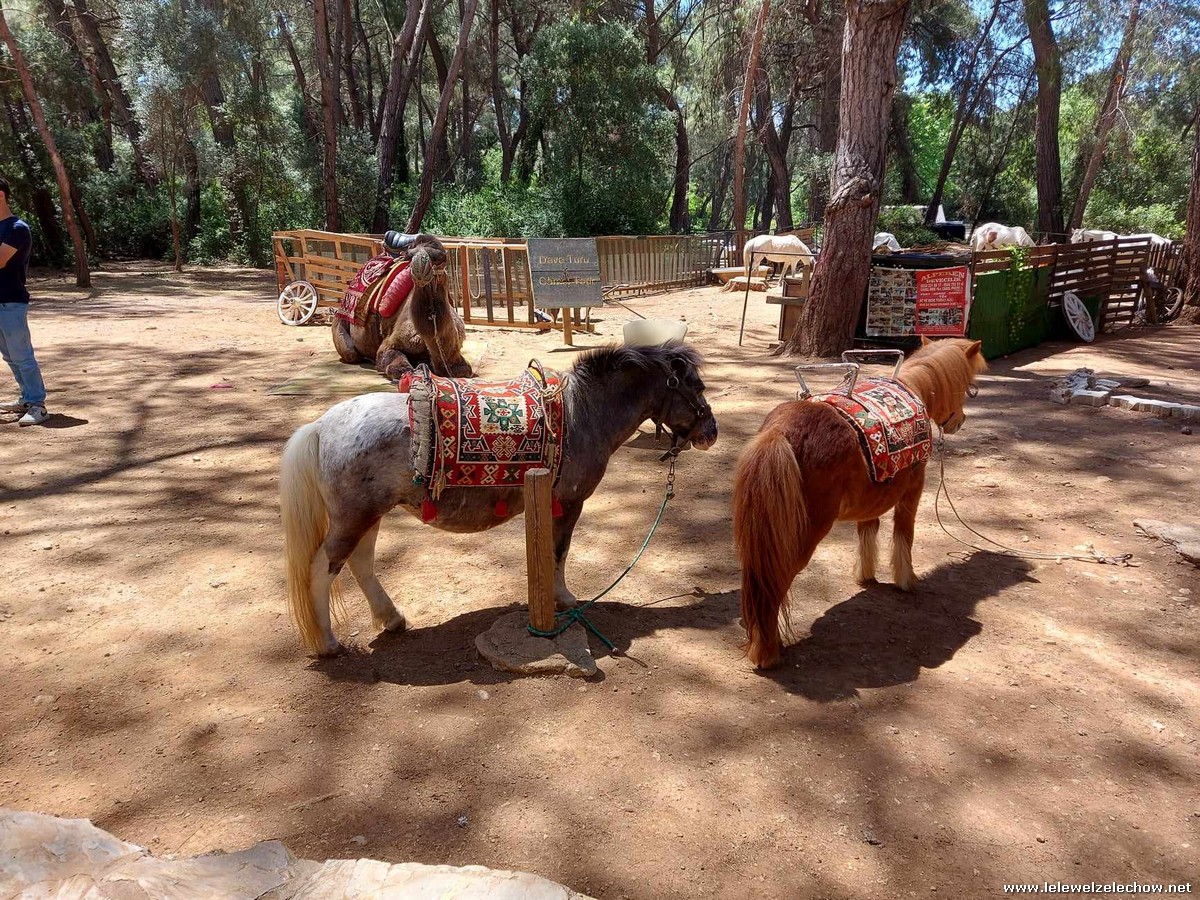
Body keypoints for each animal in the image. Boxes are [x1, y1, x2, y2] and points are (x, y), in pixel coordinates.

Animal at [279, 343, 718, 656]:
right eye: (696, 388)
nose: (711, 432)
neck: (584, 413)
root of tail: (320, 426)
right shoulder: (569, 503)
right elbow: (559, 552)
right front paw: (563, 599)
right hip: (354, 518)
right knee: (323, 569)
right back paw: (328, 644)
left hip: (370, 515)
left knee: (361, 564)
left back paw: (392, 619)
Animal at [331, 233, 473, 381]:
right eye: (409, 256)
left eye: (441, 258)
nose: (419, 266)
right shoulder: (389, 344)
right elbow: (395, 362)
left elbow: (463, 369)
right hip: (341, 325)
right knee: (351, 353)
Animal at [731, 337, 986, 670]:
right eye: (967, 385)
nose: (960, 421)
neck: (914, 389)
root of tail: (779, 432)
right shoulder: (912, 493)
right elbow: (904, 534)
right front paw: (906, 580)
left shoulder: (871, 501)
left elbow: (868, 531)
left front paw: (866, 574)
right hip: (799, 538)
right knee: (773, 585)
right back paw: (767, 652)